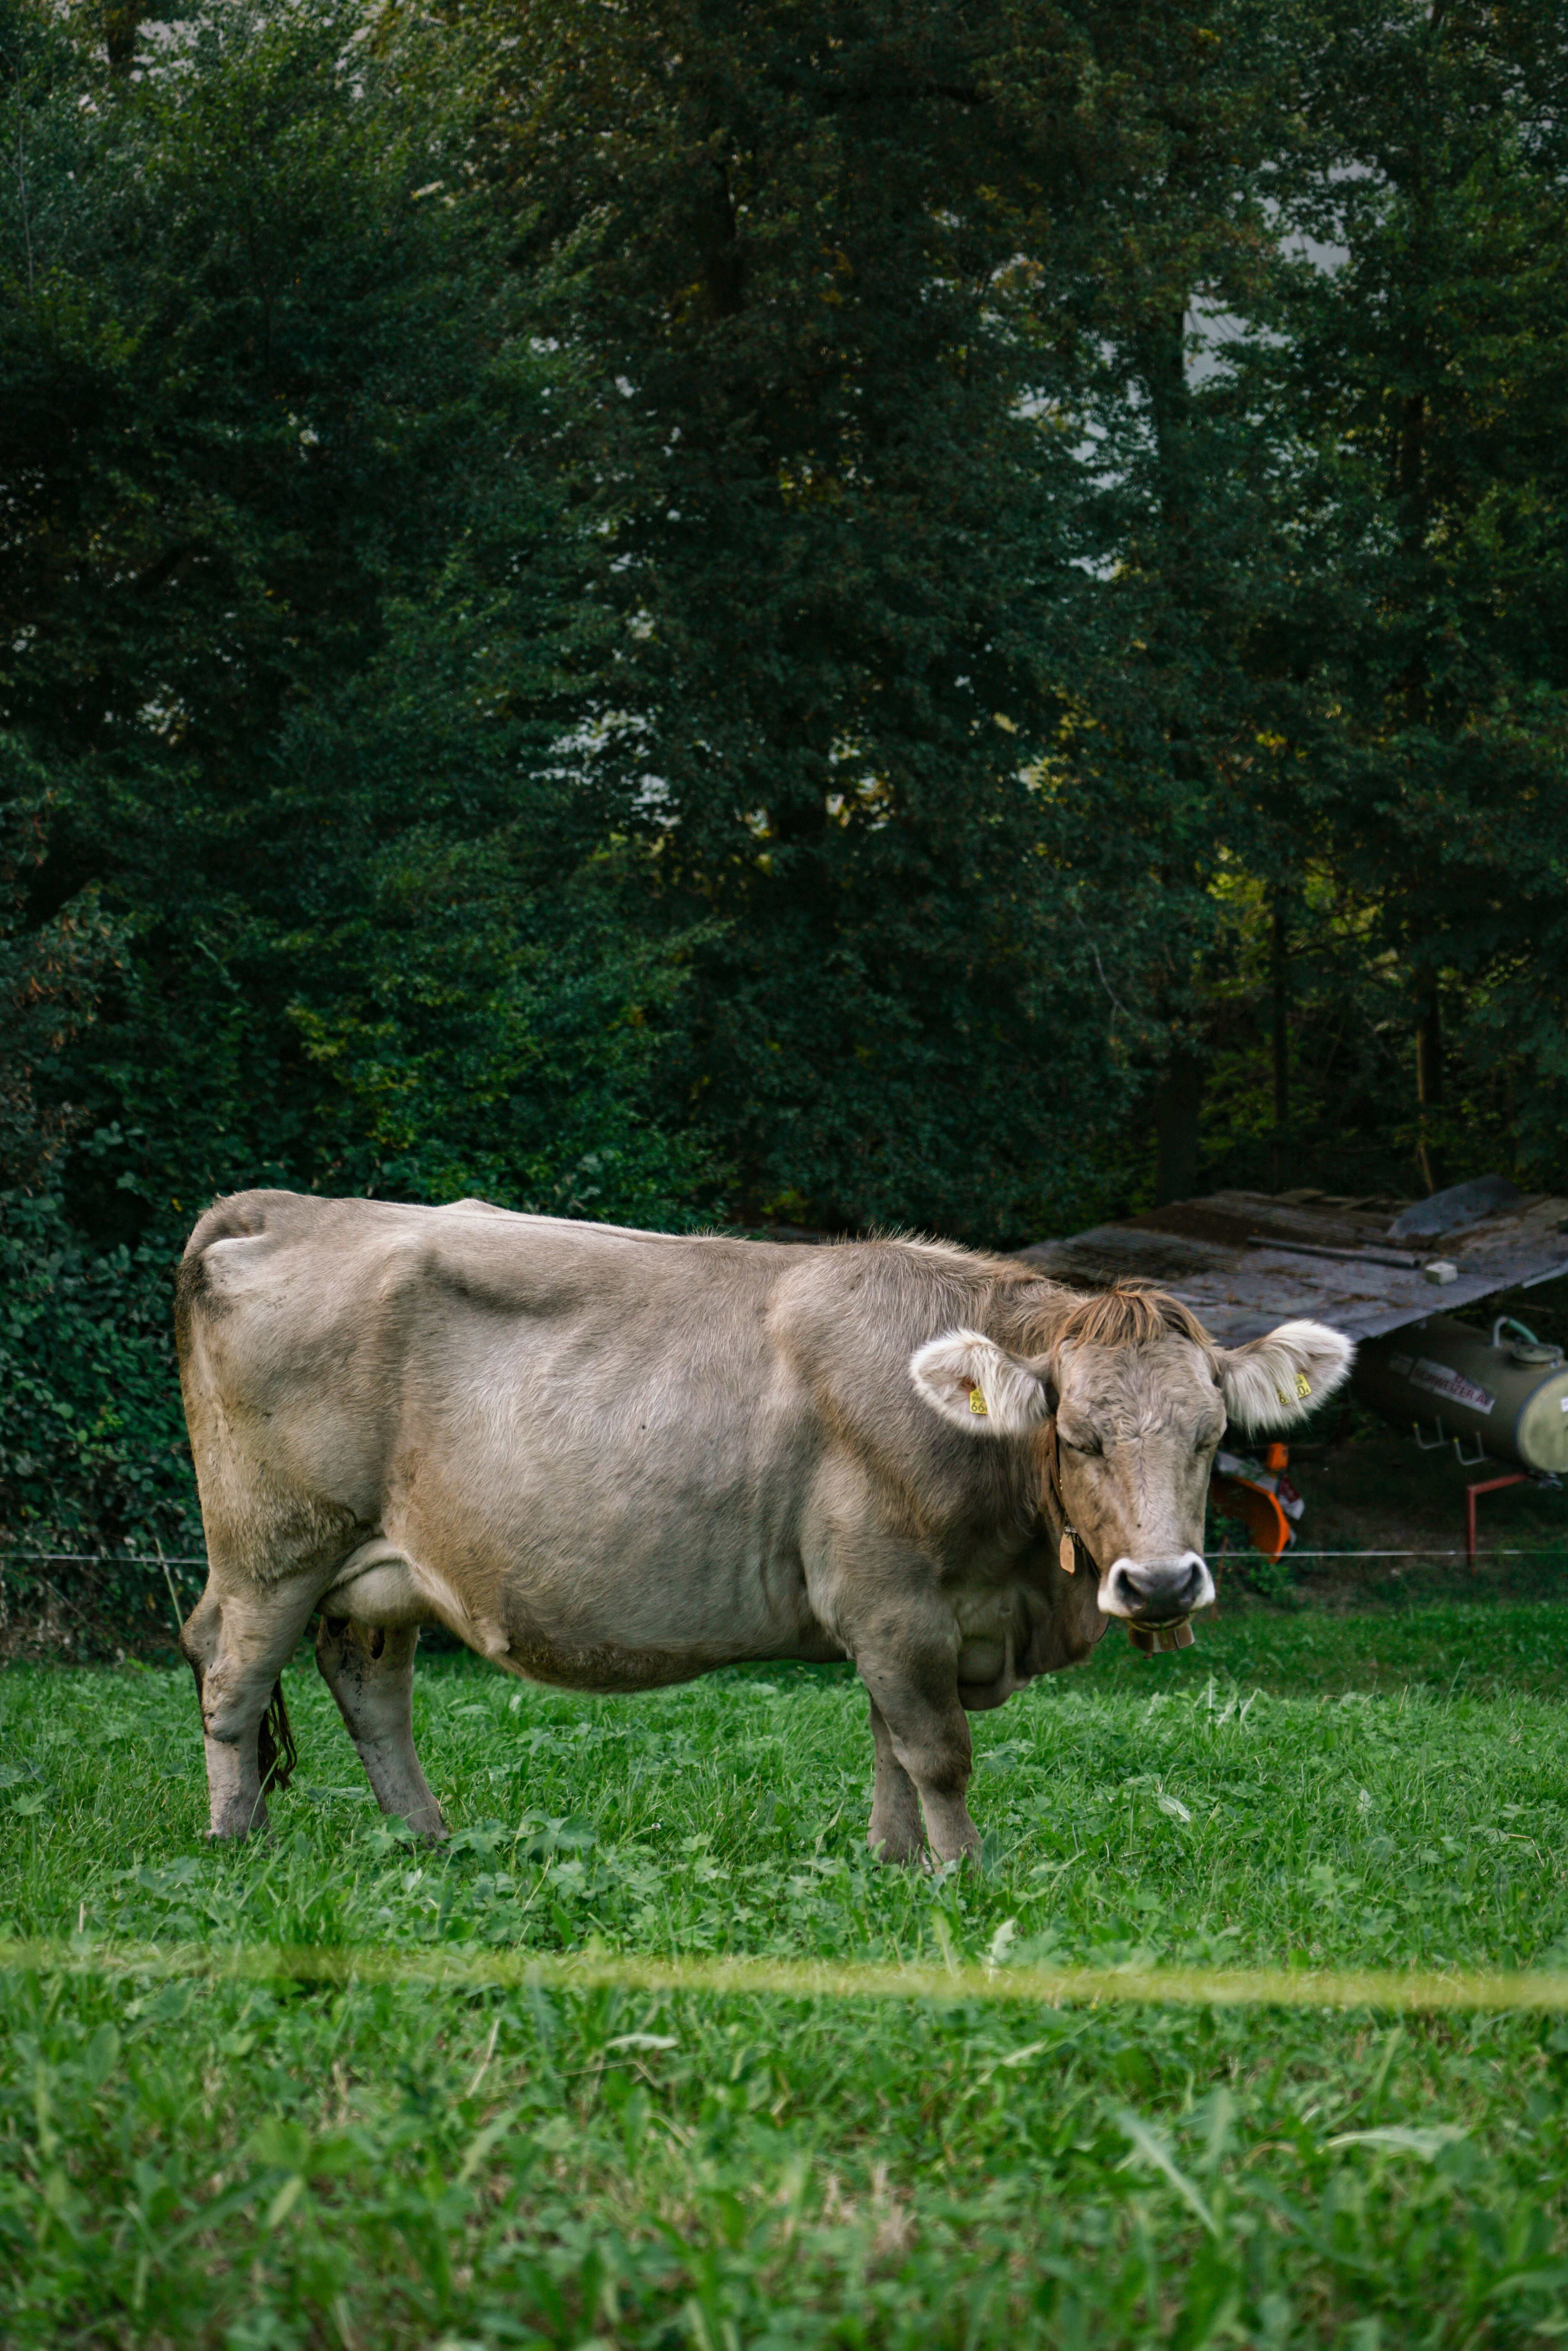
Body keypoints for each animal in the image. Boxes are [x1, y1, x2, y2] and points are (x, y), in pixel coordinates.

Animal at [174, 1191, 1353, 1863]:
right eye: (1079, 1435)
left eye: (1209, 1433)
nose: (1160, 1585)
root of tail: (279, 1204)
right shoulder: (890, 1601)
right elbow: (938, 1752)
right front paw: (966, 1869)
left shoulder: (906, 1619)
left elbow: (889, 1746)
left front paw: (893, 1862)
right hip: (272, 1544)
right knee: (230, 1673)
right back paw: (236, 1840)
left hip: (378, 1566)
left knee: (369, 1682)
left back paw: (427, 1838)